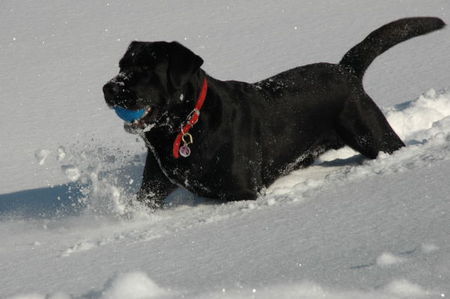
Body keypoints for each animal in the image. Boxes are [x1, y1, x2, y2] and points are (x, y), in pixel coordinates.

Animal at [103, 16, 444, 209]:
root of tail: (346, 69)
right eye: (121, 66)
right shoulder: (153, 187)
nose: (108, 88)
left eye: (147, 69)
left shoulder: (242, 191)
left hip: (372, 134)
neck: (186, 124)